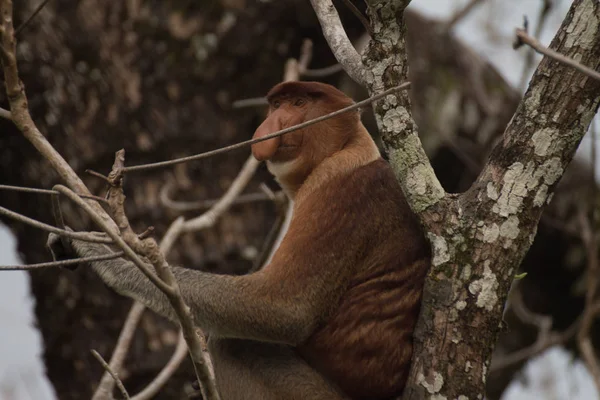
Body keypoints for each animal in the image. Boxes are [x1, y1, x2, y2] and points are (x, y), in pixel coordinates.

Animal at [48, 81, 432, 400]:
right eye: (275, 104)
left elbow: (285, 308)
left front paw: (103, 253)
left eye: (299, 102)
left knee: (235, 346)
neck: (348, 151)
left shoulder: (342, 193)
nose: (273, 124)